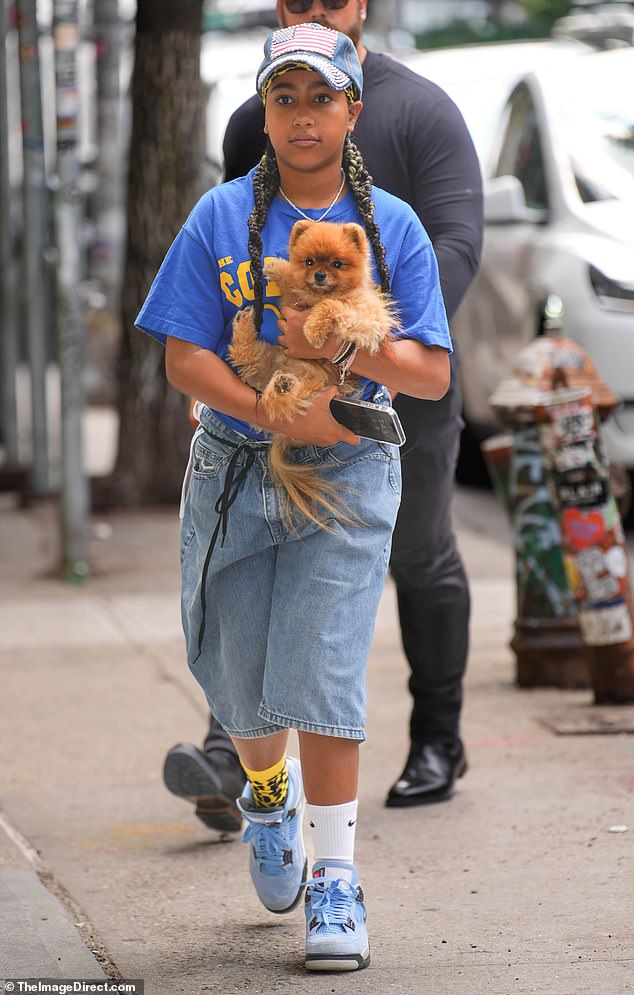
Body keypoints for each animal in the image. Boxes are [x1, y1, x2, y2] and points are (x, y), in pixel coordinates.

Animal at [227, 221, 398, 524]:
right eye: (309, 262)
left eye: (337, 264)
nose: (319, 275)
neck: (321, 293)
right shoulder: (300, 295)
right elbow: (294, 283)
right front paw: (278, 268)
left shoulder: (367, 316)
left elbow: (333, 307)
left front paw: (313, 329)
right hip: (272, 358)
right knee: (249, 360)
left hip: (316, 381)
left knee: (294, 393)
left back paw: (284, 385)